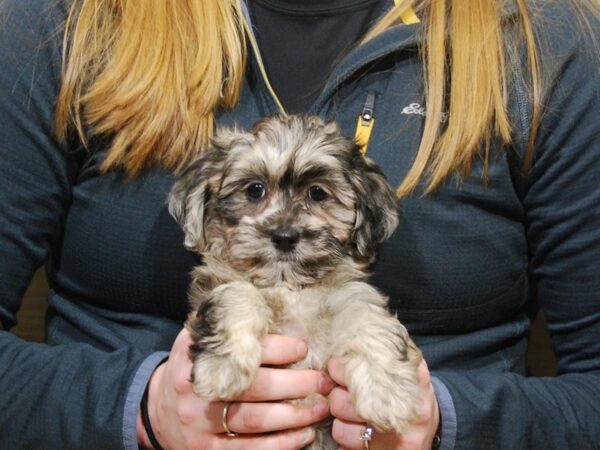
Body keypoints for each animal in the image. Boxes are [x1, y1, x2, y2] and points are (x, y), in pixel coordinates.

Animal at [169, 114, 422, 448]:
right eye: (255, 190)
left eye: (317, 193)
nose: (285, 237)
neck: (290, 285)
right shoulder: (218, 280)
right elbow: (235, 294)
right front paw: (223, 366)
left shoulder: (350, 293)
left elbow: (370, 319)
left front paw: (388, 393)